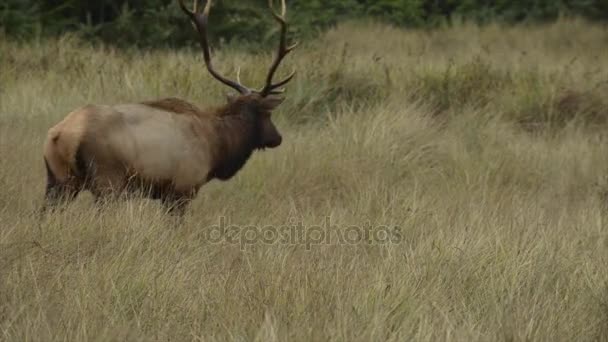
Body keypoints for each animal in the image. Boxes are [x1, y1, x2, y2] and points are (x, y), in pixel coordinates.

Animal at [39, 0, 296, 218]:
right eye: (268, 113)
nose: (278, 137)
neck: (218, 146)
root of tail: (61, 134)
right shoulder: (182, 188)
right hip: (107, 180)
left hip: (58, 179)